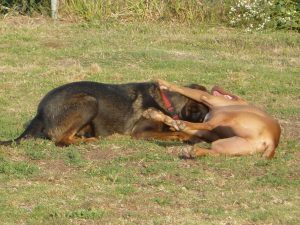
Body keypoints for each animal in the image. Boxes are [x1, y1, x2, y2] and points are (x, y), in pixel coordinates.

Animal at [0, 81, 209, 146]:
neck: (167, 101)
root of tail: (40, 111)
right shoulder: (141, 133)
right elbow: (176, 133)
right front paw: (187, 136)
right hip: (88, 102)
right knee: (61, 140)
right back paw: (90, 140)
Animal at [143, 80, 282, 159]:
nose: (216, 85)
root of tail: (272, 141)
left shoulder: (205, 97)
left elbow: (182, 89)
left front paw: (162, 83)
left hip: (227, 116)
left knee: (208, 125)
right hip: (225, 144)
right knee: (216, 151)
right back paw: (191, 150)